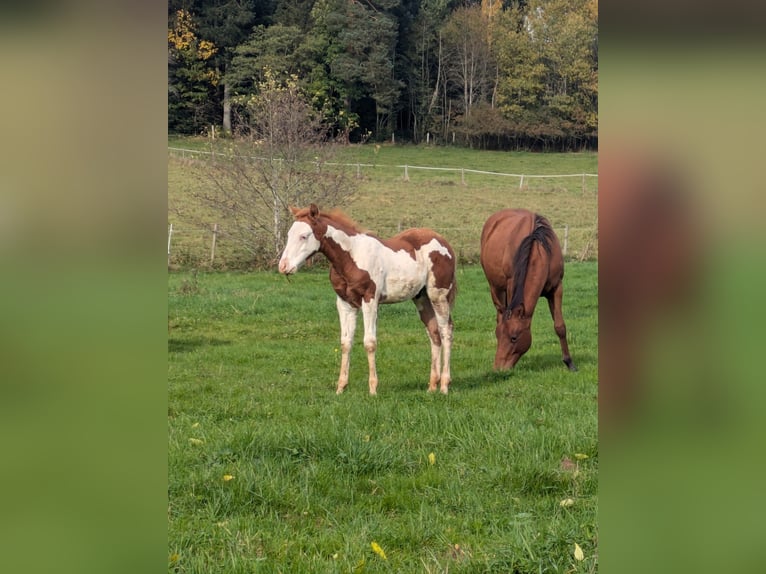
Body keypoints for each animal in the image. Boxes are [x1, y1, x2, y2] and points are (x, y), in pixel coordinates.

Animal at [278, 204, 457, 395]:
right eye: (289, 235)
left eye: (304, 236)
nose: (283, 266)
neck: (351, 257)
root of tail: (444, 242)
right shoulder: (344, 303)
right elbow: (345, 342)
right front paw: (340, 387)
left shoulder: (370, 299)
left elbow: (369, 342)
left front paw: (372, 389)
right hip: (421, 298)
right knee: (433, 332)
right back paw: (432, 386)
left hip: (438, 295)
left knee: (446, 331)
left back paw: (444, 385)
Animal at [479, 208, 577, 372]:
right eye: (498, 335)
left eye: (514, 338)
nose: (498, 369)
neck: (538, 249)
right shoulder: (511, 284)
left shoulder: (557, 288)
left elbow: (560, 326)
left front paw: (569, 363)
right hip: (495, 287)